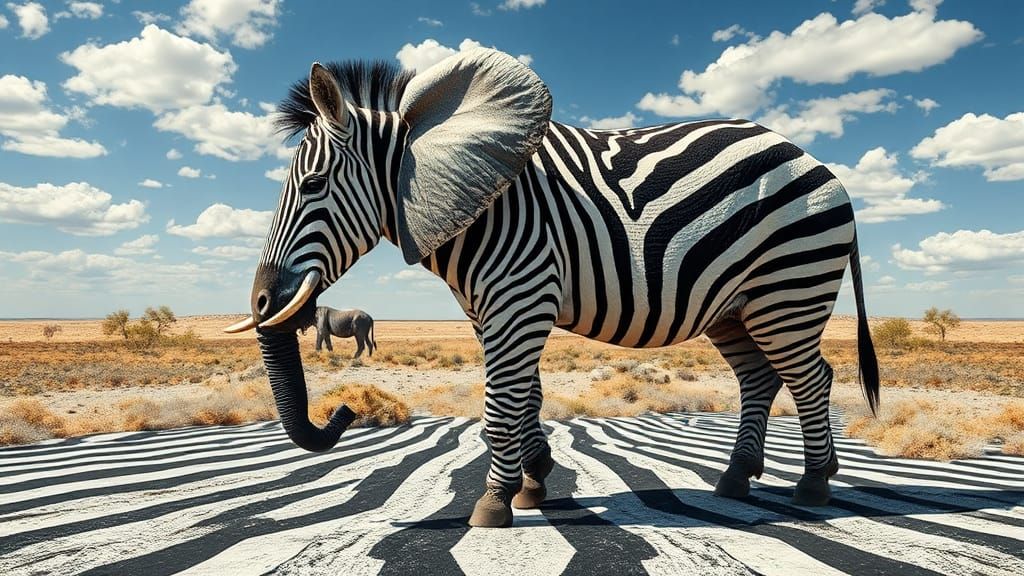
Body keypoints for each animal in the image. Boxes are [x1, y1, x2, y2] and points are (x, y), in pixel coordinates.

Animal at [225, 48, 880, 528]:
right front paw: (533, 481)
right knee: (758, 377)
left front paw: (493, 505)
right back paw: (739, 478)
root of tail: (826, 171)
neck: (479, 204)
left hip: (788, 282)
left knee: (811, 377)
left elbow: (501, 404)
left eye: (313, 185)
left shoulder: (522, 293)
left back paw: (813, 486)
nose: (343, 412)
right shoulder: (496, 307)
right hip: (734, 305)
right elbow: (526, 397)